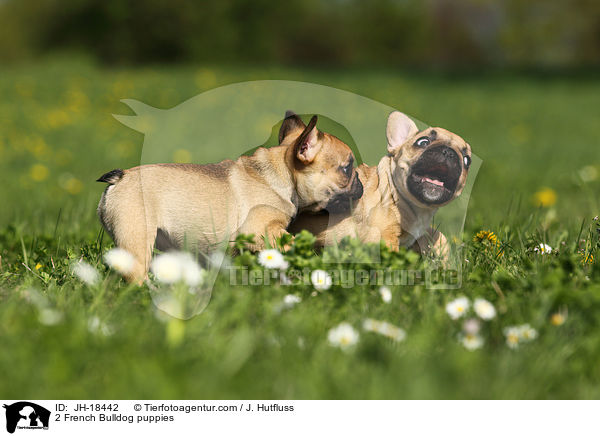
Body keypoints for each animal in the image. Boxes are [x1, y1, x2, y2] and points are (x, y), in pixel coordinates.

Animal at [97, 112, 360, 282]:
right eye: (347, 169)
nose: (359, 182)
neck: (283, 175)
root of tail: (120, 178)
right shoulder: (261, 230)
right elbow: (292, 243)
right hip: (137, 240)